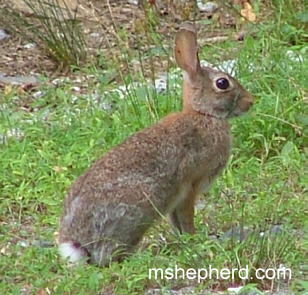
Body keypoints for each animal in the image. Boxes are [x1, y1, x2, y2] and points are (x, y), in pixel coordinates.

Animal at [57, 22, 253, 268]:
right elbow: (186, 217)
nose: (250, 102)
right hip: (138, 209)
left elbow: (176, 221)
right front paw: (195, 239)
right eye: (222, 83)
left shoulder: (177, 198)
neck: (203, 114)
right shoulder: (190, 185)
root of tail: (76, 242)